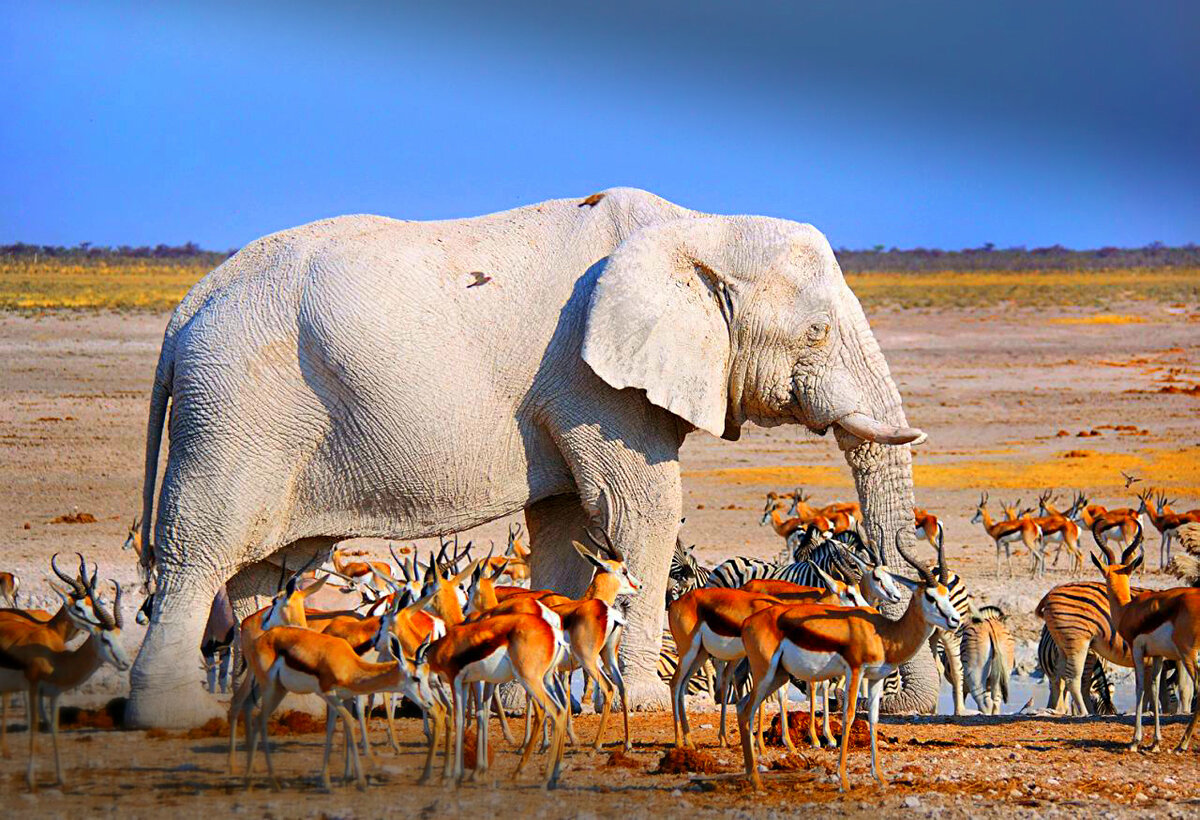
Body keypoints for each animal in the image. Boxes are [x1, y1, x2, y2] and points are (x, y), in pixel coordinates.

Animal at [126, 189, 926, 729]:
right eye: (816, 333)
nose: (911, 560)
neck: (698, 224)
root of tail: (185, 307)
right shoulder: (593, 380)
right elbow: (643, 510)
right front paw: (643, 705)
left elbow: (567, 527)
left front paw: (521, 703)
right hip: (236, 408)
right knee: (202, 551)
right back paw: (173, 716)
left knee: (272, 568)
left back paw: (289, 709)